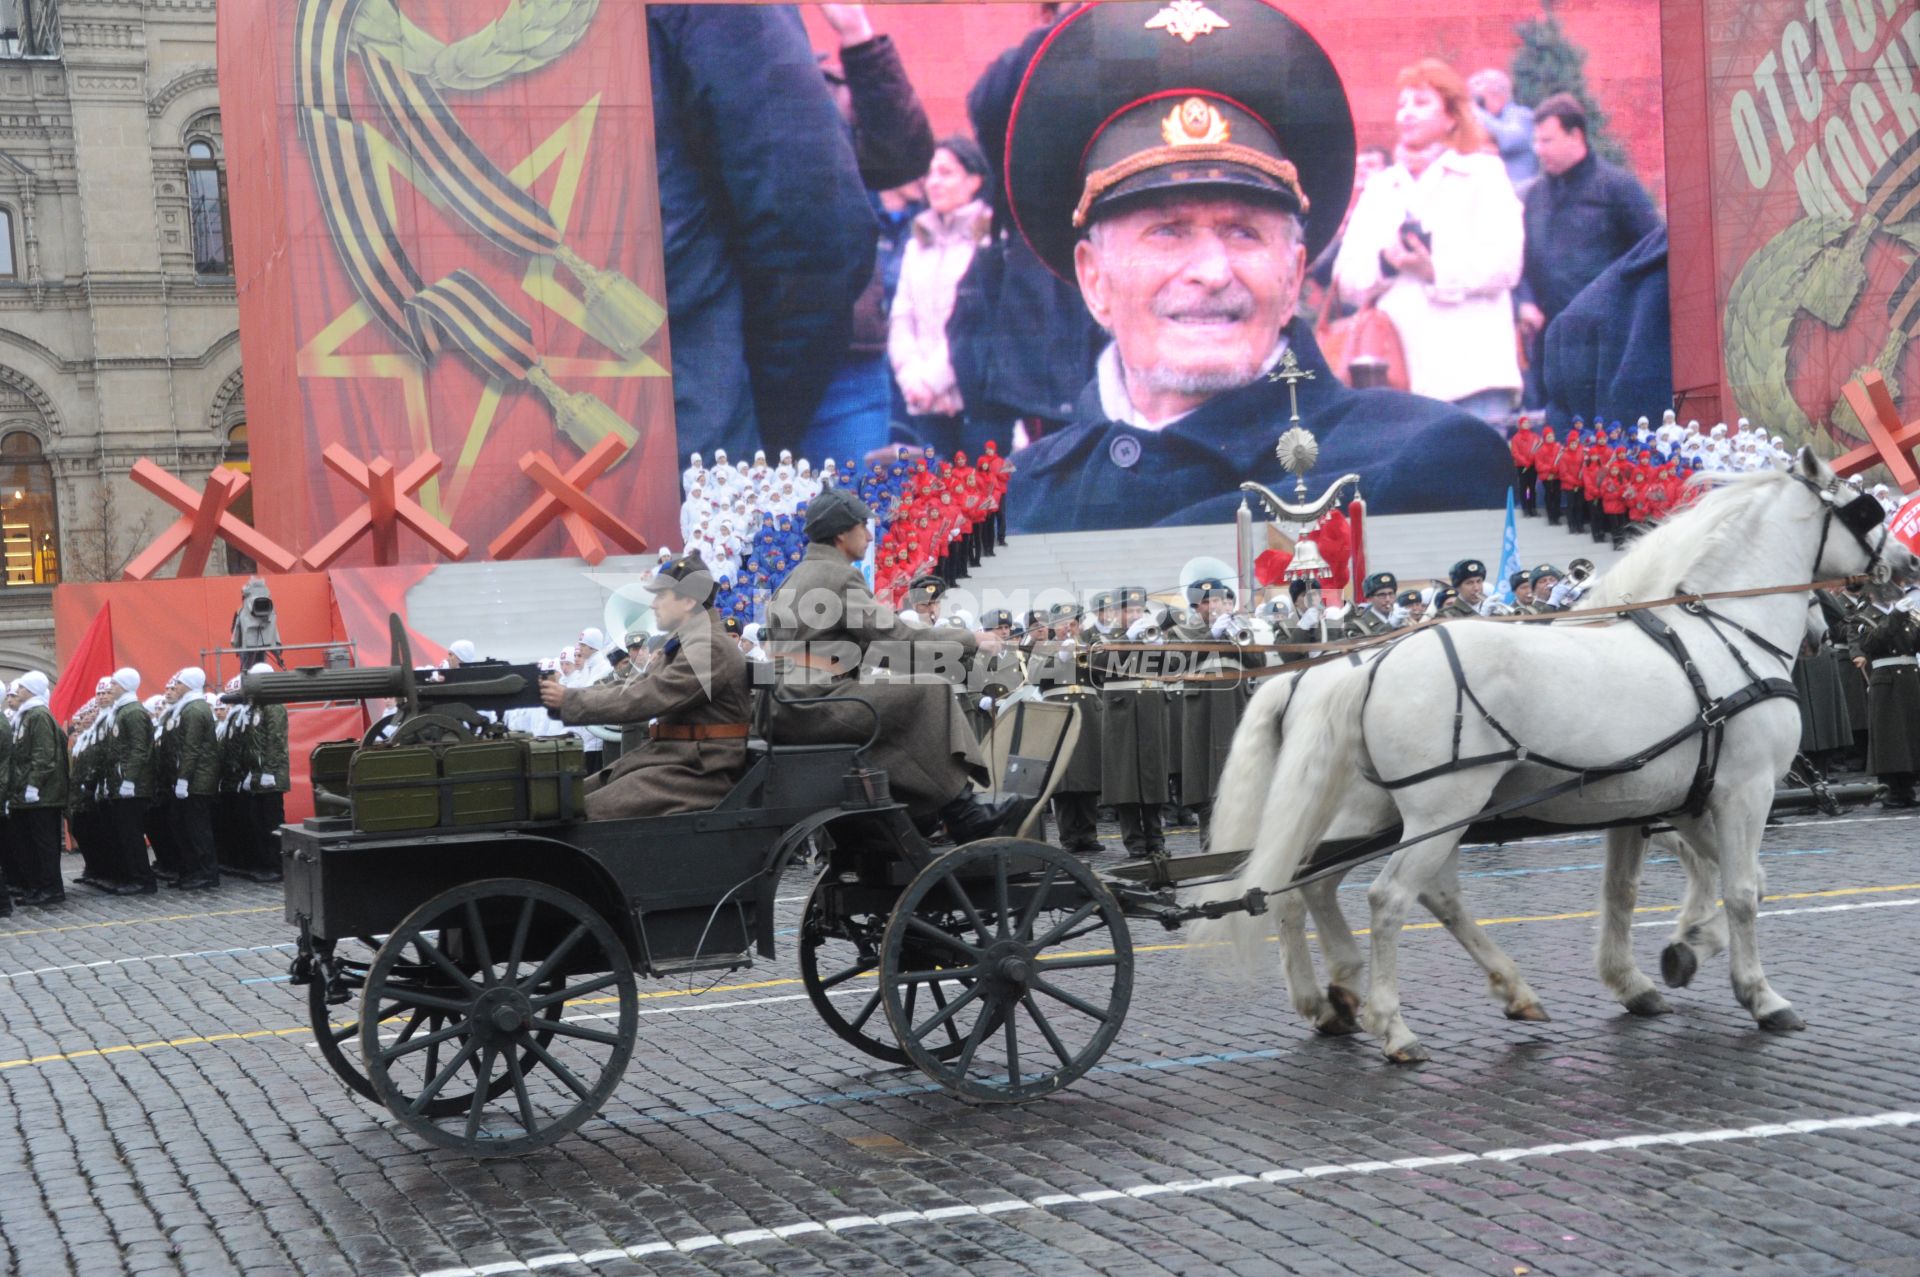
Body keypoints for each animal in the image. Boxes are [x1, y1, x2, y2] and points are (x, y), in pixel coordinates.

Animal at [1198, 453, 1904, 1060]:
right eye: (1864, 508)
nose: (1901, 563)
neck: (1722, 638)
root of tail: (1367, 664)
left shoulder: (1662, 801)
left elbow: (1638, 890)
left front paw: (1664, 962)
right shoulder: (1743, 791)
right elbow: (1742, 890)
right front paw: (1758, 994)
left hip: (1400, 813)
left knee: (1336, 885)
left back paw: (1389, 995)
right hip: (1437, 809)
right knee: (1388, 898)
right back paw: (1392, 1025)